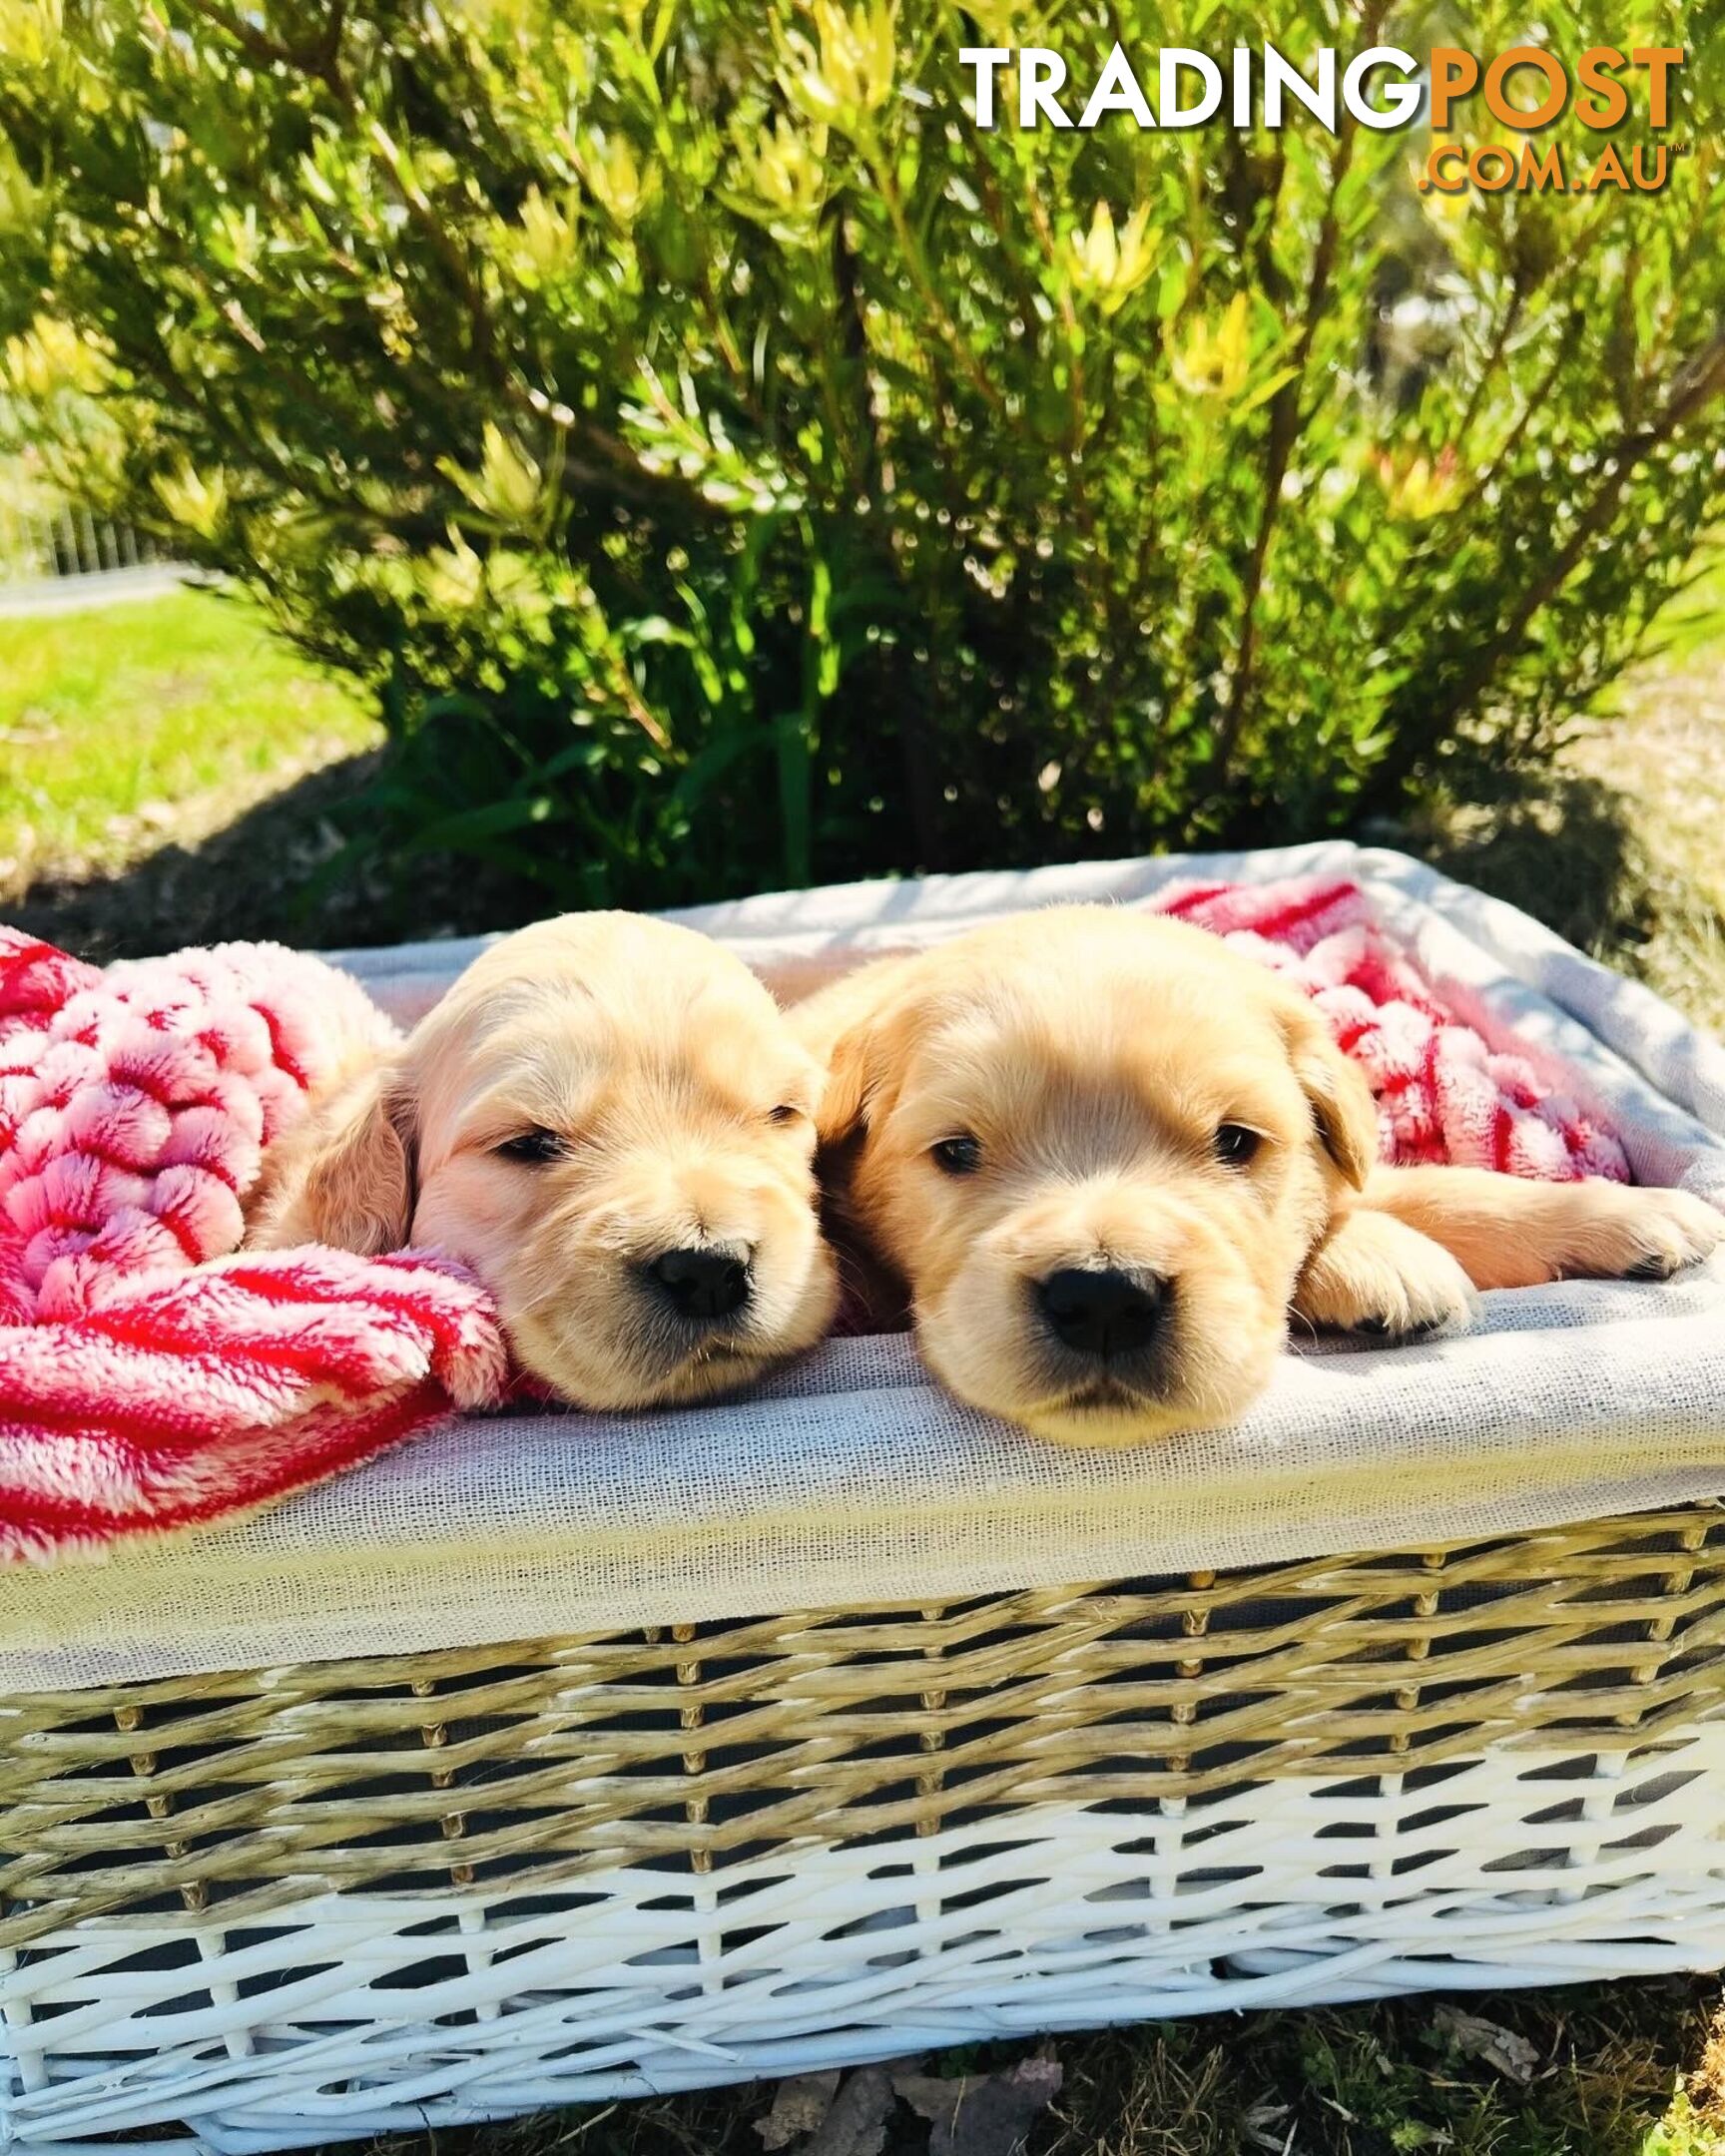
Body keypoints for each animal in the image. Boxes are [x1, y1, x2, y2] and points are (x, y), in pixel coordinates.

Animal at [798, 900, 1725, 1439]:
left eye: (1237, 1142)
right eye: (956, 1152)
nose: (1104, 1298)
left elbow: (1436, 1191)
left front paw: (1630, 1214)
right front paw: (1379, 1259)